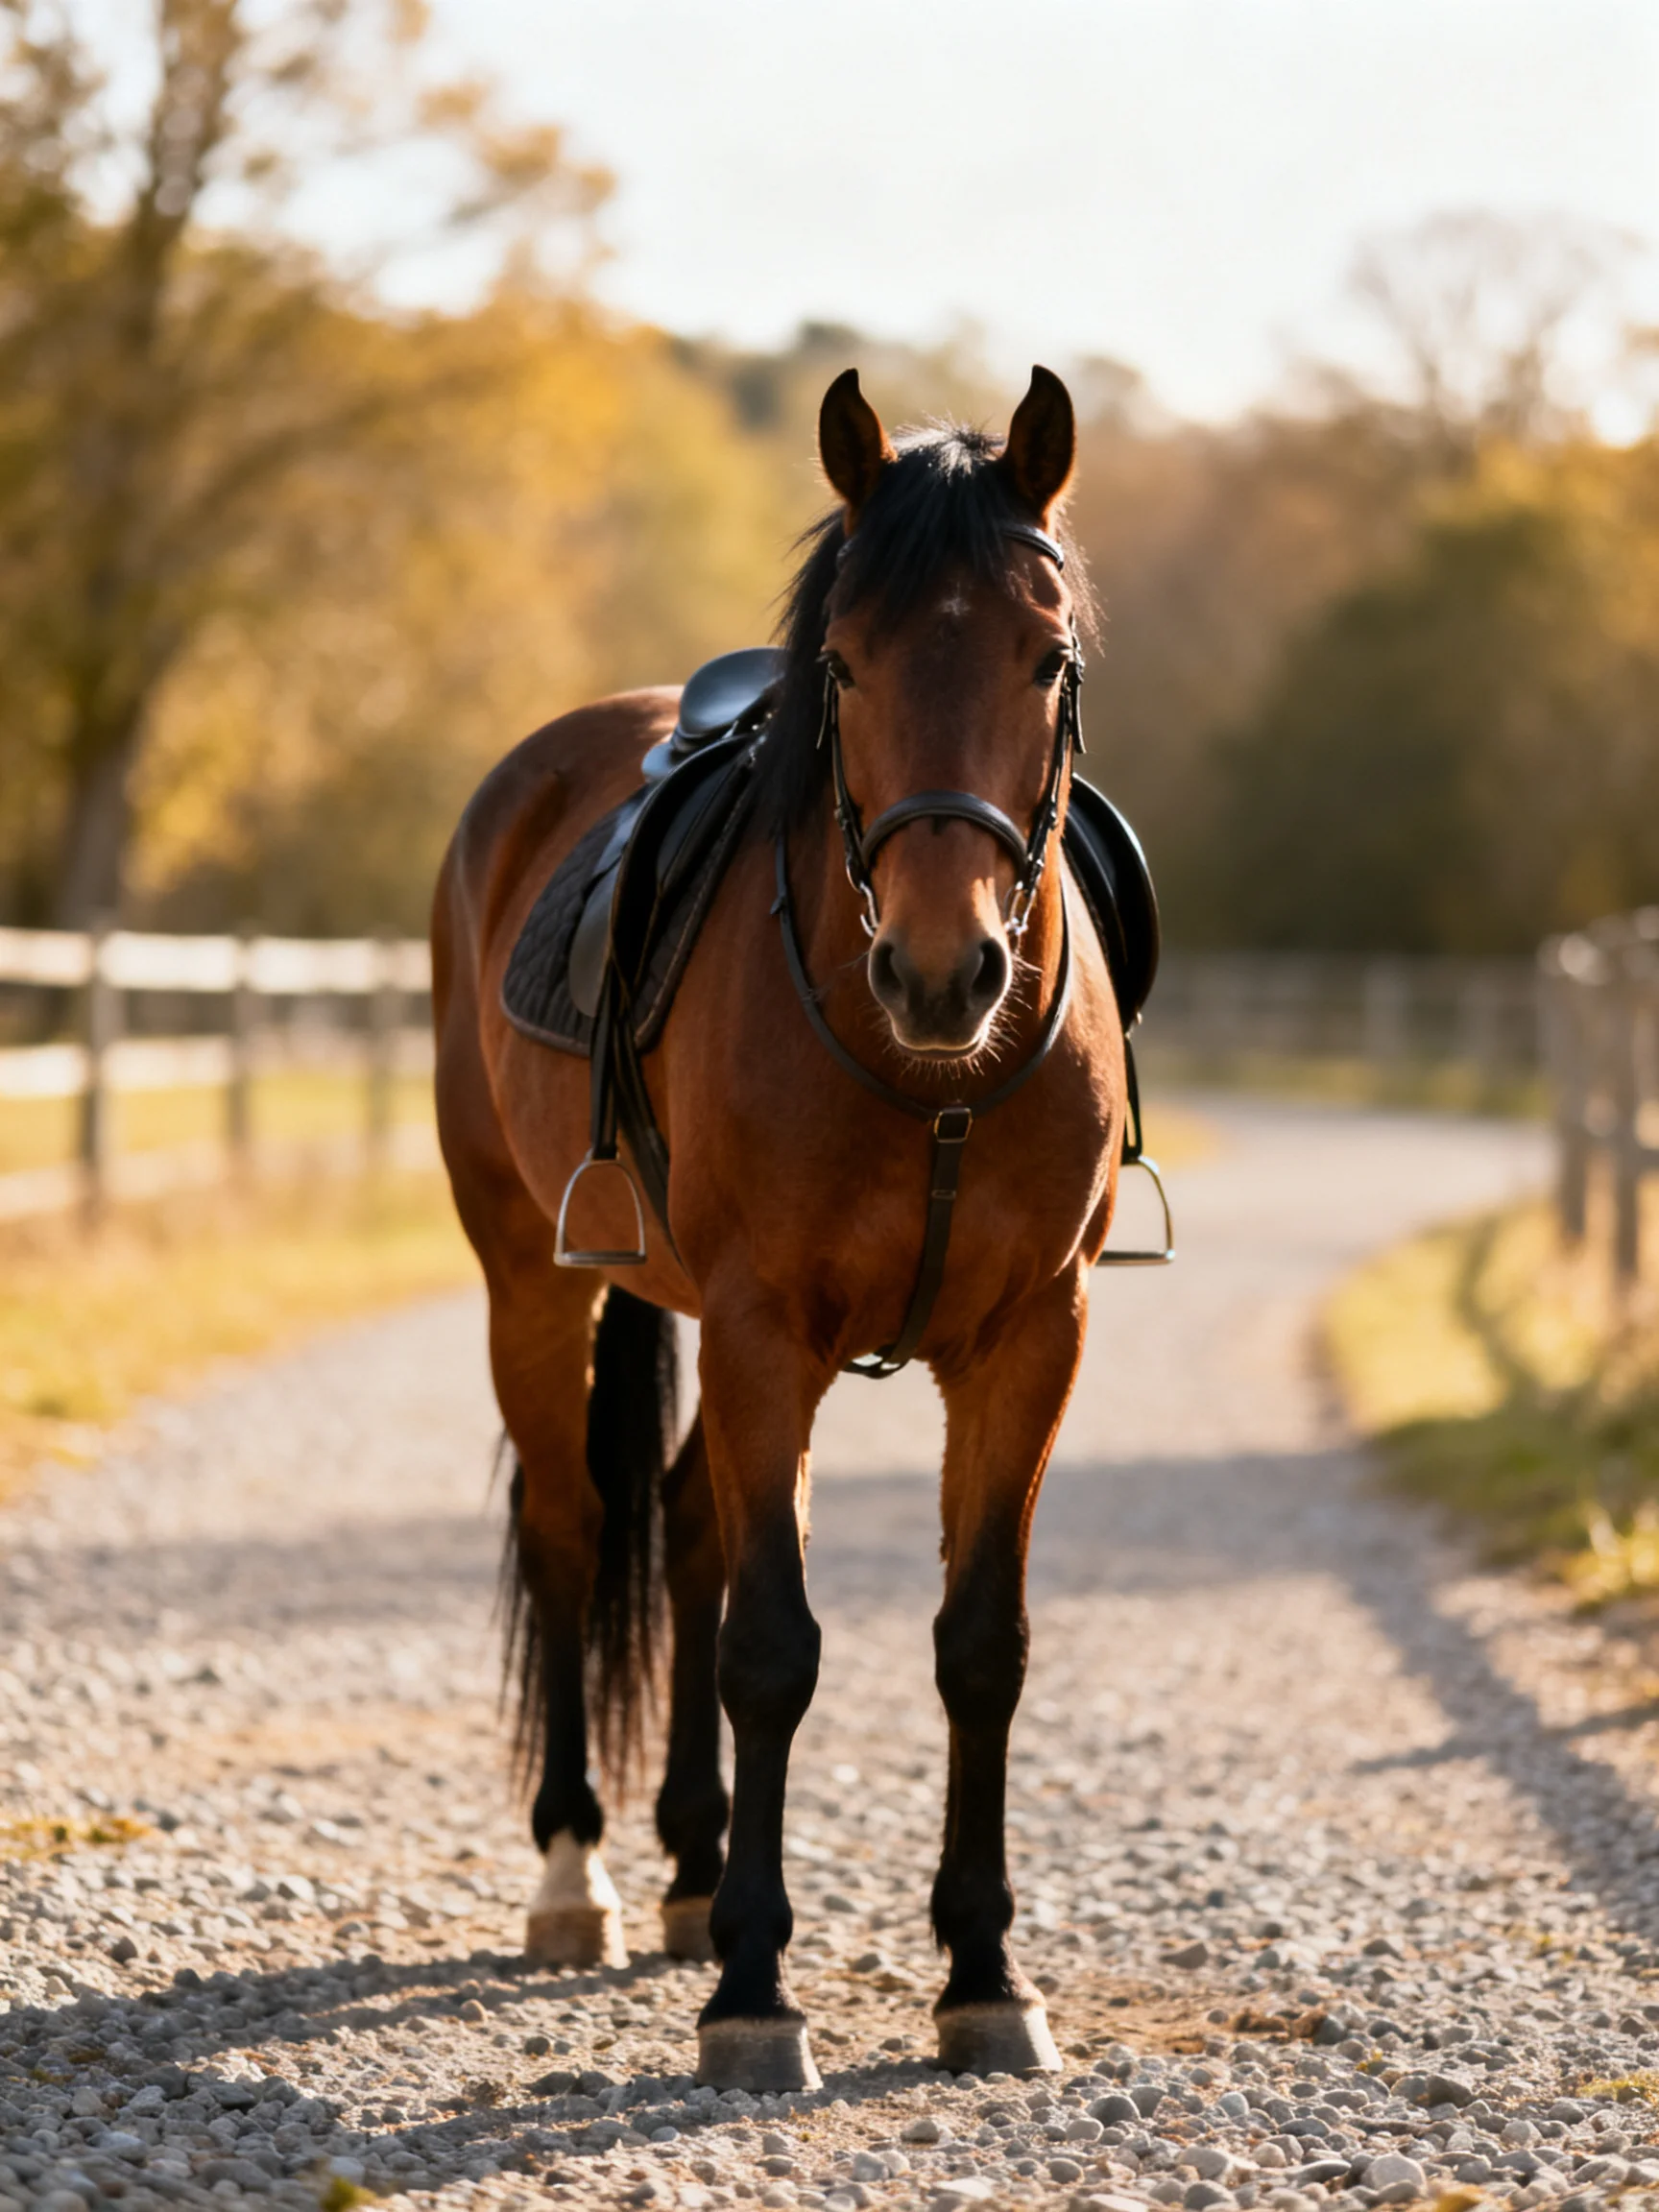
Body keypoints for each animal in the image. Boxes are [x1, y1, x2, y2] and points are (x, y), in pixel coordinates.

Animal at [432, 364, 1130, 2091]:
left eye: (1045, 656)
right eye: (846, 661)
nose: (942, 972)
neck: (929, 1078)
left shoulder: (1033, 1338)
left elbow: (980, 1645)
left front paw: (983, 1972)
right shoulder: (764, 1331)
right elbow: (773, 1646)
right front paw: (755, 1987)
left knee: (681, 1519)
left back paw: (689, 1860)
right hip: (529, 1284)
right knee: (572, 1528)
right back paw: (583, 1871)